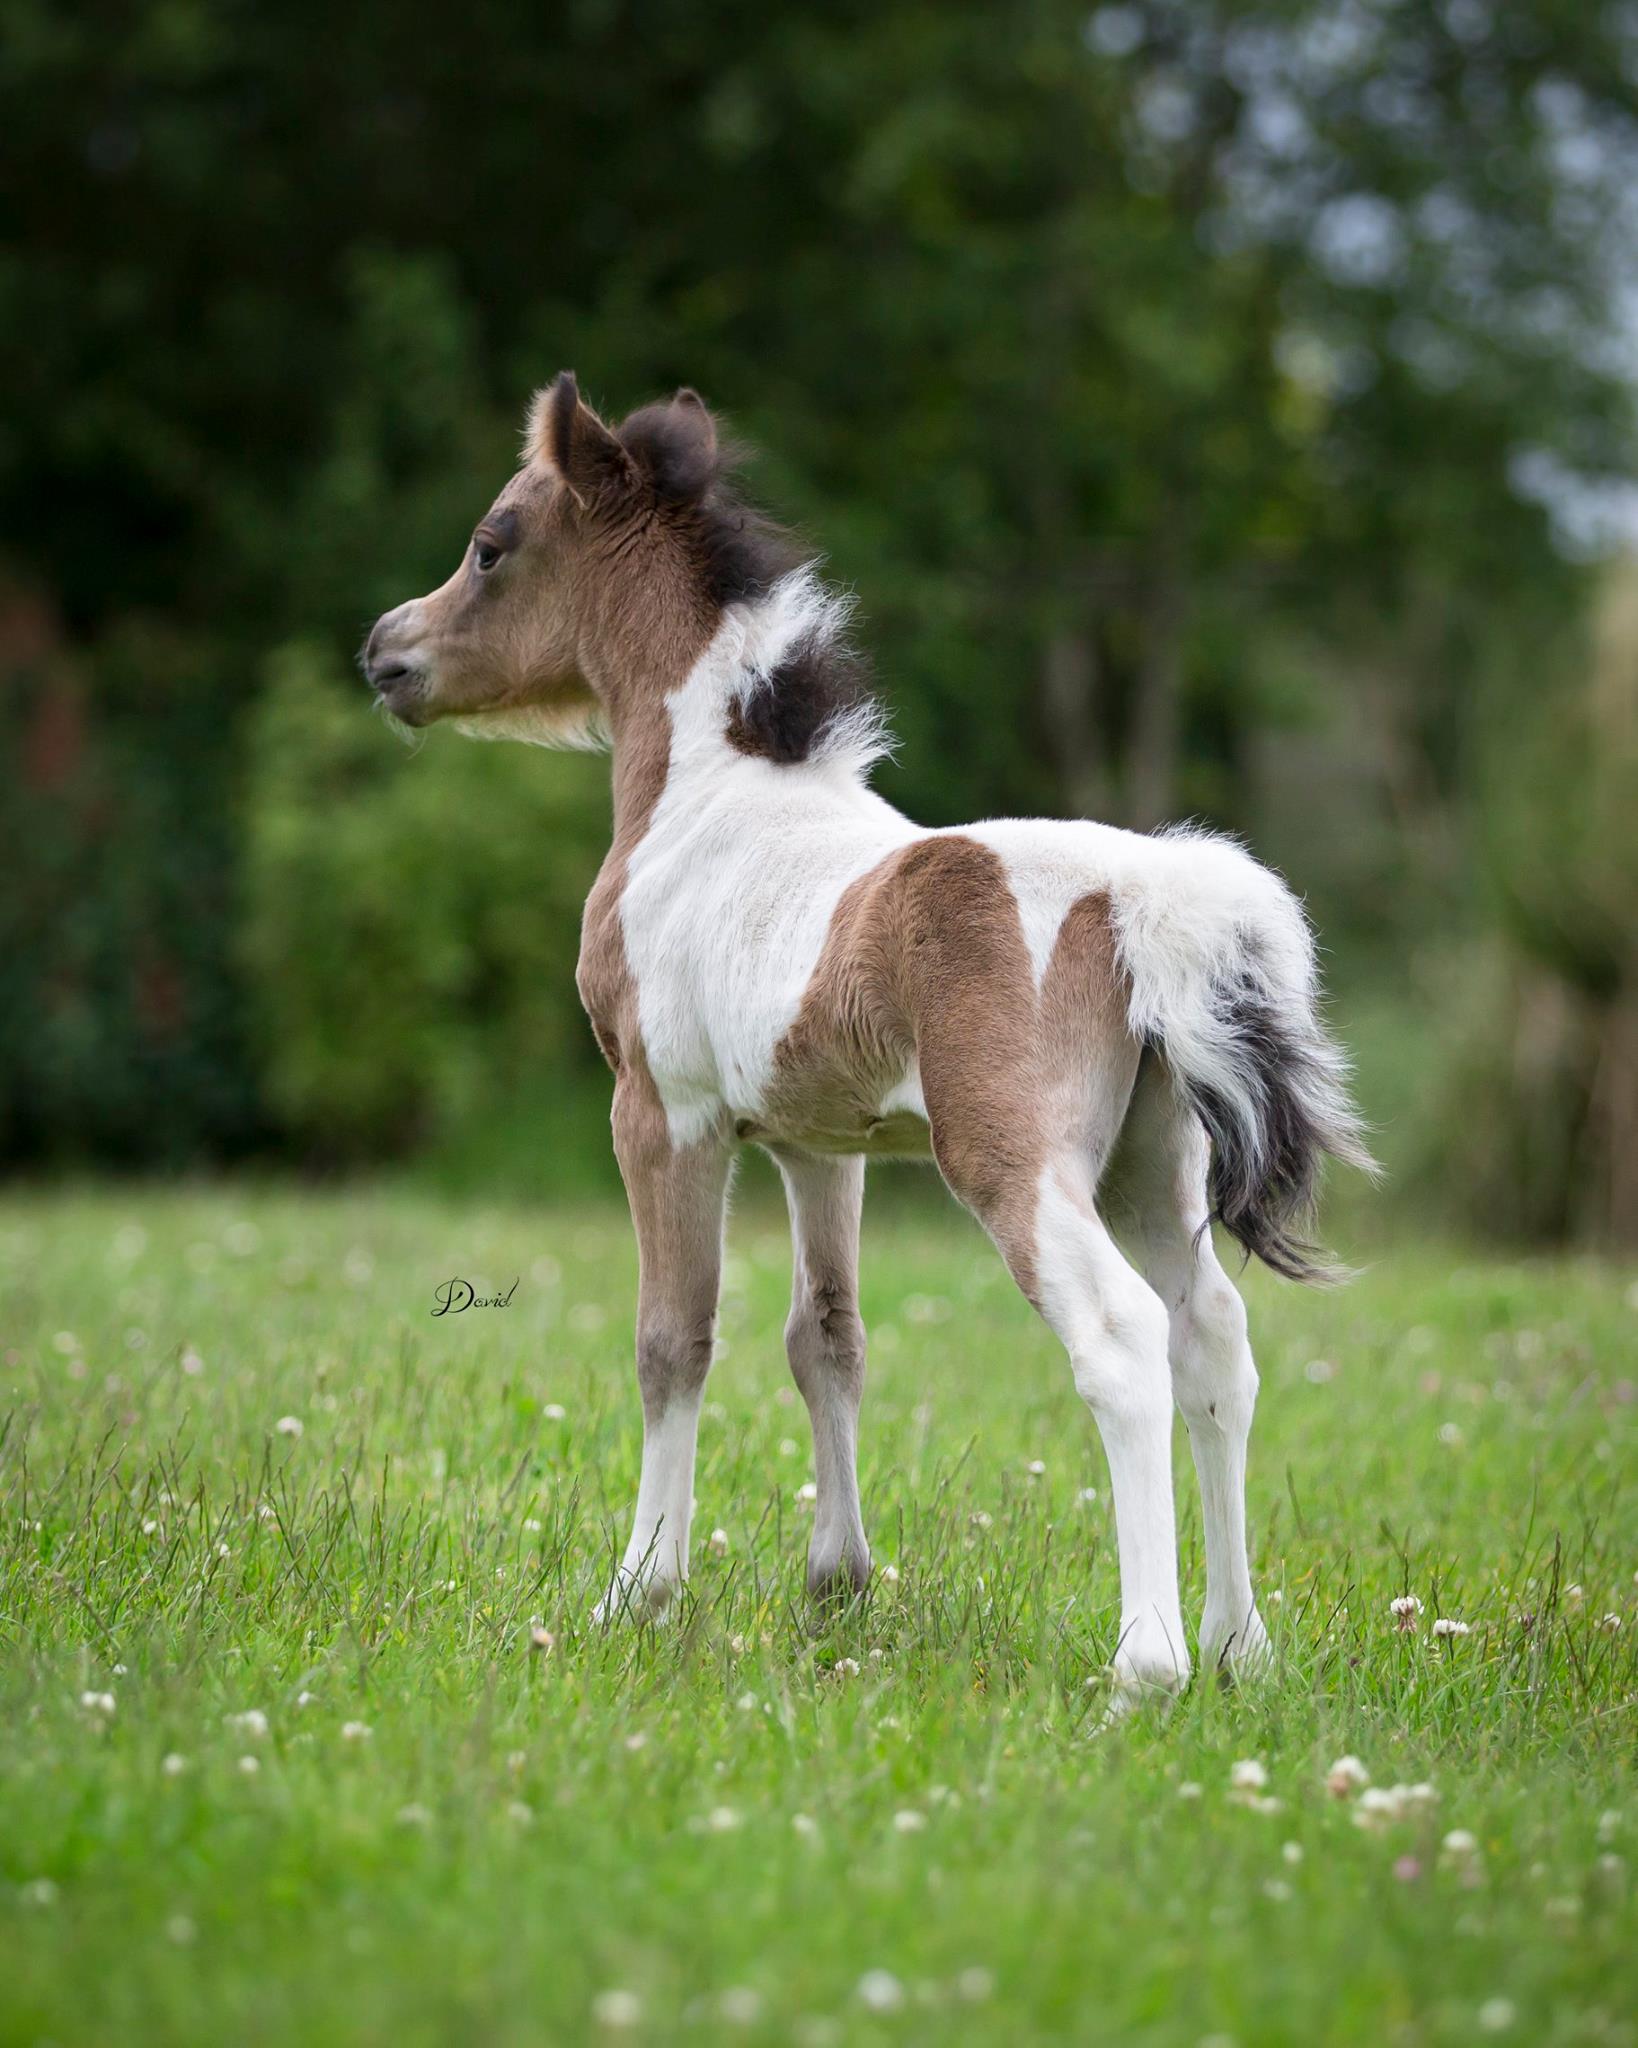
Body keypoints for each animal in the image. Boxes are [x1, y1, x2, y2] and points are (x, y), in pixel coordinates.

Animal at [363, 373, 1373, 1711]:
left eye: (491, 543)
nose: (386, 650)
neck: (705, 795)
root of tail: (1141, 891)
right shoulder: (814, 1140)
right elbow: (825, 1337)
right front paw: (837, 1584)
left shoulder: (662, 1113)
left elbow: (673, 1337)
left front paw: (639, 1592)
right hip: (1151, 1165)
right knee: (1213, 1340)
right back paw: (1238, 1648)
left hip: (1017, 1166)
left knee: (1122, 1338)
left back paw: (1146, 1663)